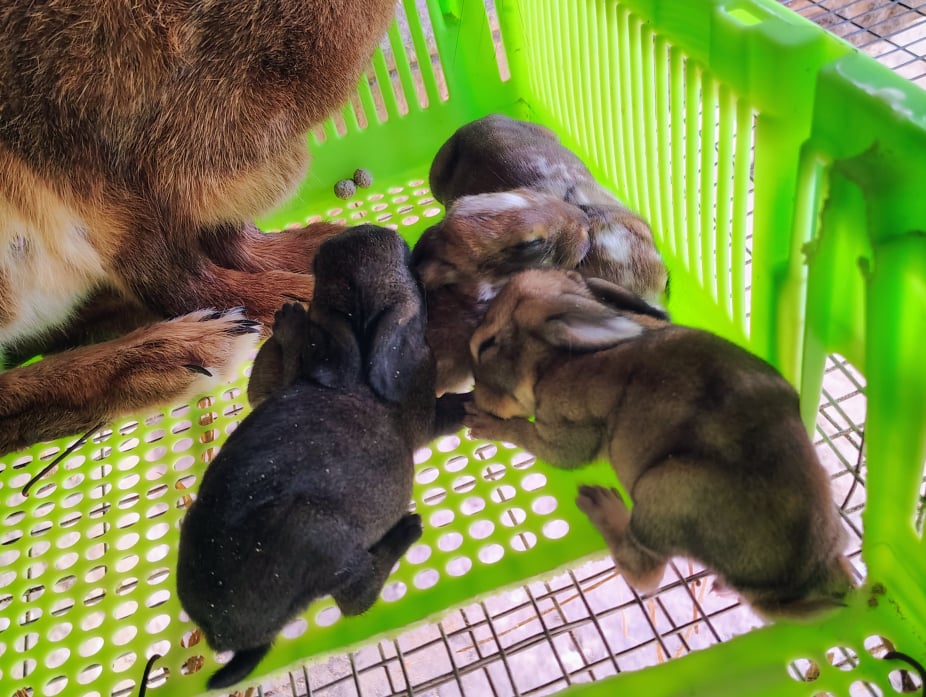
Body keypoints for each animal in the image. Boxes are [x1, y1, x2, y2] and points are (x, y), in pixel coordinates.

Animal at [0, 0, 398, 456]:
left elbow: (229, 237)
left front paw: (313, 248)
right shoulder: (113, 182)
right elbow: (175, 273)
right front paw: (288, 299)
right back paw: (185, 352)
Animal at [177, 225, 469, 690]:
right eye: (406, 255)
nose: (362, 229)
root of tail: (228, 635)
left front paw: (290, 319)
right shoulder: (425, 416)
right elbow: (442, 417)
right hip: (327, 541)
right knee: (356, 599)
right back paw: (406, 531)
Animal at [463, 268, 855, 620]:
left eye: (486, 344)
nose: (473, 397)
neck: (554, 360)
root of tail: (797, 583)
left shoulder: (564, 432)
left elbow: (527, 435)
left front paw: (481, 423)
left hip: (660, 490)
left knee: (645, 574)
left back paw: (600, 503)